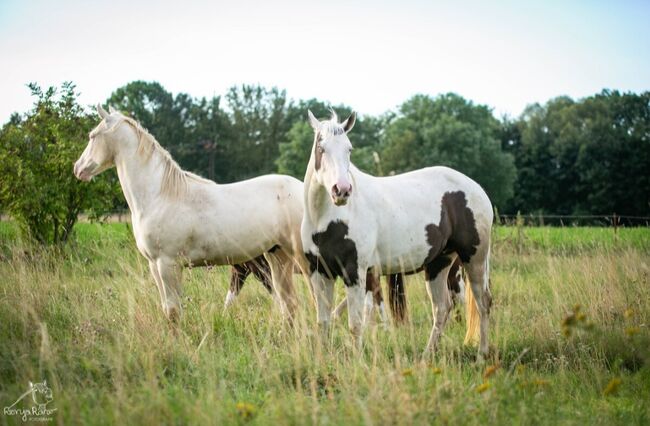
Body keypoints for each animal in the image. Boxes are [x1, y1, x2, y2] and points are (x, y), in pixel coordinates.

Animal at [74, 105, 308, 322]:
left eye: (92, 136)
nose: (78, 169)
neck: (161, 195)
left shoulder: (167, 264)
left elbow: (173, 312)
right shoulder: (155, 265)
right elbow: (168, 309)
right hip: (277, 257)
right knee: (290, 305)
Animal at [298, 109, 492, 356]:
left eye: (349, 149)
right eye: (321, 148)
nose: (341, 190)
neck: (327, 218)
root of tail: (476, 188)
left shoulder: (355, 272)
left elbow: (355, 324)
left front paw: (357, 359)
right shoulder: (320, 272)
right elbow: (323, 322)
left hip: (474, 259)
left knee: (483, 302)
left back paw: (482, 354)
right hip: (438, 264)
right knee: (442, 308)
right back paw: (426, 356)